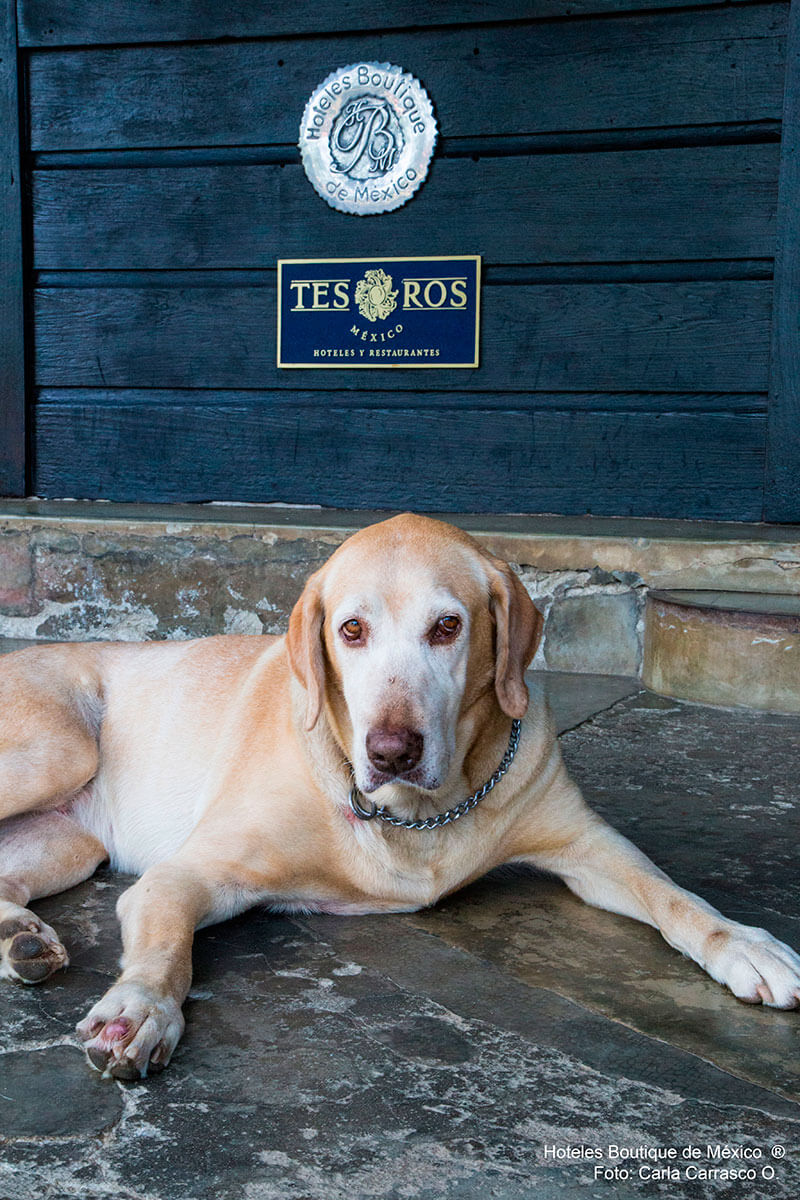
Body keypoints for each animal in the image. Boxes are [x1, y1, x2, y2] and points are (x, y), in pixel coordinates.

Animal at [0, 513, 797, 1080]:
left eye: (448, 627)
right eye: (350, 630)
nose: (390, 752)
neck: (419, 817)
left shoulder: (585, 841)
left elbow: (673, 895)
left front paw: (743, 946)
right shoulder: (184, 877)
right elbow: (167, 950)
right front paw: (139, 1011)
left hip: (72, 838)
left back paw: (22, 938)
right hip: (62, 753)